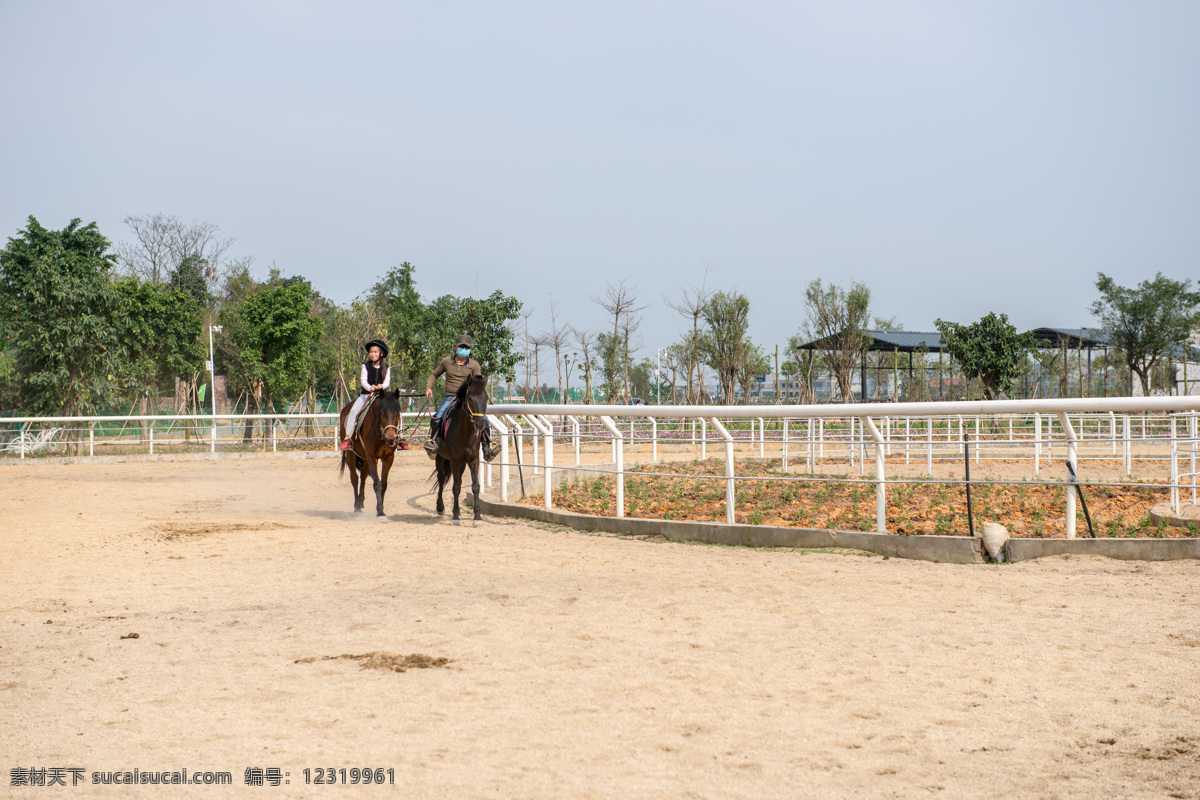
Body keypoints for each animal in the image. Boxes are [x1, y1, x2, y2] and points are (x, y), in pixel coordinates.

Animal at [434, 376, 489, 525]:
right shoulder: (454, 461)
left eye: (486, 397)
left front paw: (477, 517)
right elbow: (456, 487)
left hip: (463, 464)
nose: (480, 424)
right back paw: (440, 507)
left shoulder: (473, 460)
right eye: (469, 398)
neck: (465, 434)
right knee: (441, 478)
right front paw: (455, 516)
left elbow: (475, 486)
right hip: (440, 458)